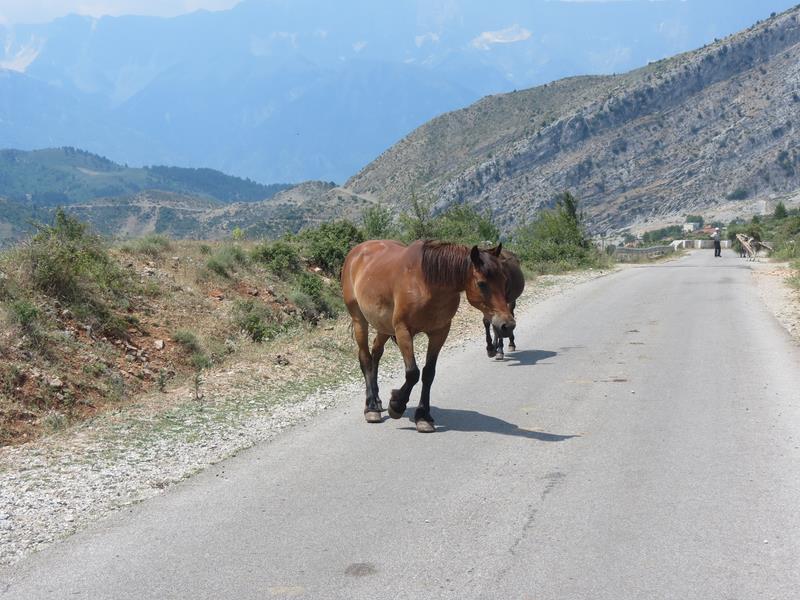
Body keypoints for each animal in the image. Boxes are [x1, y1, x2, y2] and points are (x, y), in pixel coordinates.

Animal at [341, 239, 516, 433]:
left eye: (504, 280)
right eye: (482, 283)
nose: (507, 325)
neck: (426, 283)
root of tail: (356, 252)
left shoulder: (439, 333)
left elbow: (428, 374)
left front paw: (423, 417)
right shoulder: (403, 330)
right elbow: (413, 373)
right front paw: (396, 405)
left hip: (384, 326)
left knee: (376, 353)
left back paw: (378, 401)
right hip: (360, 320)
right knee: (365, 358)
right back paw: (371, 407)